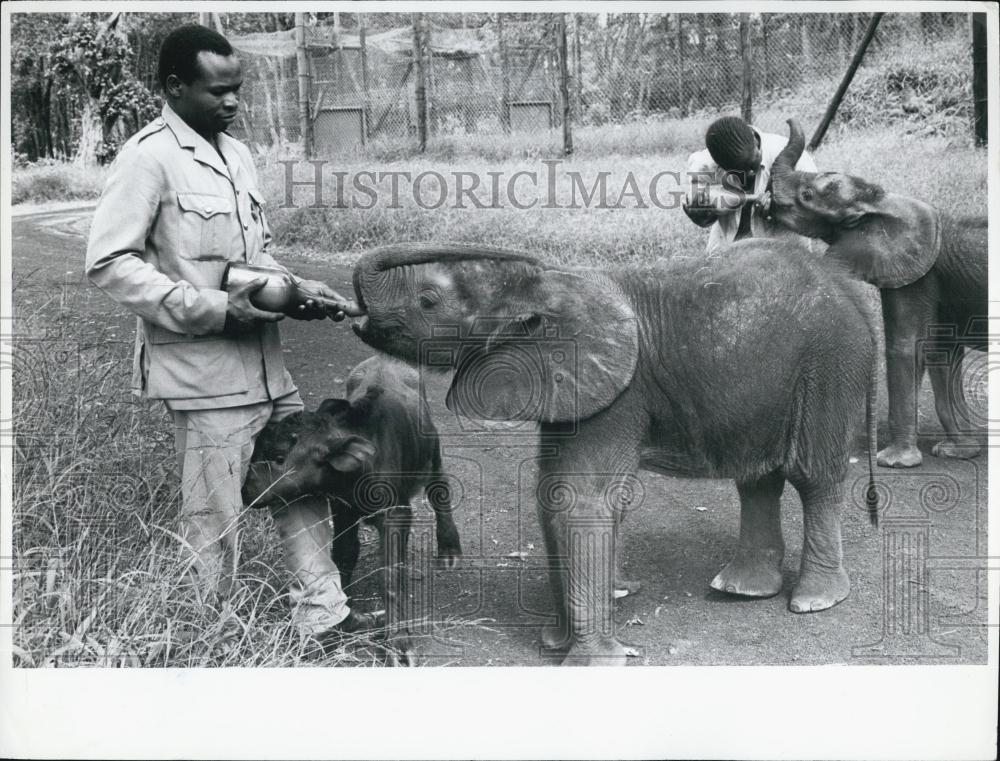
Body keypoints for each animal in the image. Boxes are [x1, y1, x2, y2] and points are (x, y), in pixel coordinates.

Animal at [244, 354, 462, 664]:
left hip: (432, 453)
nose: (245, 491)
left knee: (439, 490)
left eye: (279, 457)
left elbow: (391, 576)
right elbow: (344, 553)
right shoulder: (342, 509)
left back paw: (449, 549)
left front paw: (399, 644)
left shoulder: (396, 513)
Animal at [764, 117, 984, 470]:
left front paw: (893, 462)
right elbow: (941, 349)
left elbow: (905, 345)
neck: (881, 201)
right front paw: (957, 452)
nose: (787, 119)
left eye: (807, 195)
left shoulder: (915, 273)